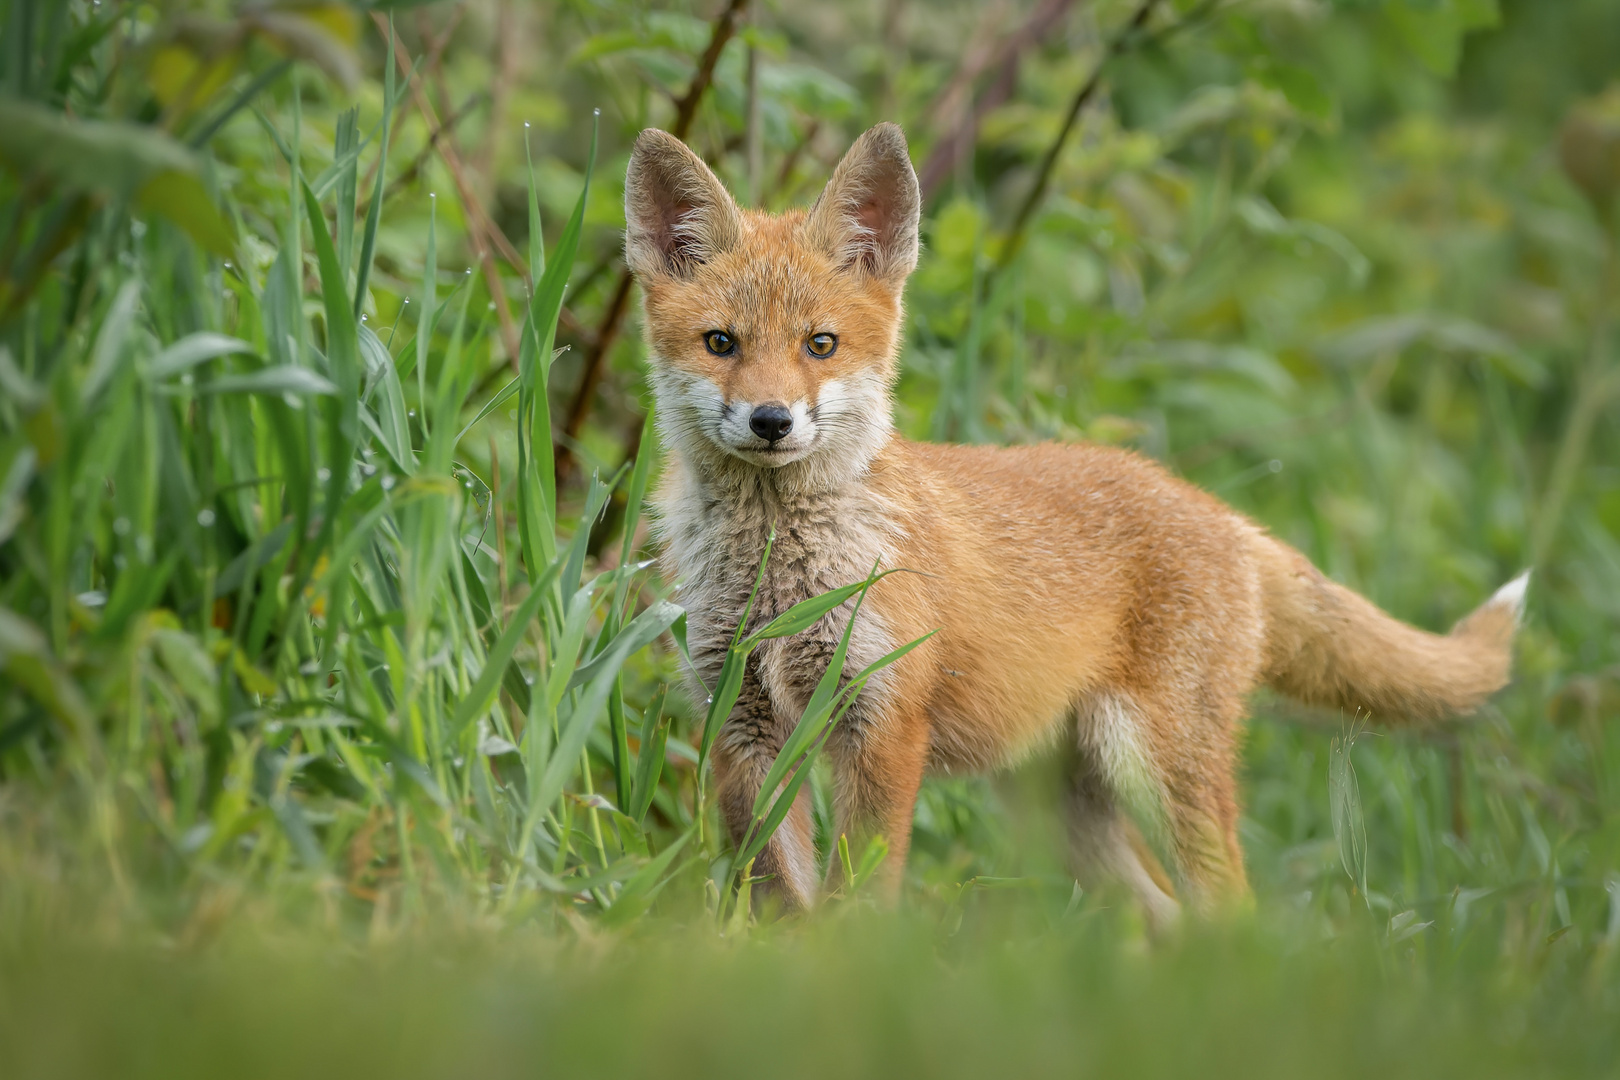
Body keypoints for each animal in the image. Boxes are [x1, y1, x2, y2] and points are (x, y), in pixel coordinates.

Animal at [625, 120, 1522, 932]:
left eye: (820, 344)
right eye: (721, 343)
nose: (772, 420)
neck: (779, 580)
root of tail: (1223, 514)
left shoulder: (882, 722)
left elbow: (861, 895)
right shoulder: (740, 723)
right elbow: (778, 889)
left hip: (1155, 768)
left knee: (1232, 911)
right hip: (1063, 812)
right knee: (1169, 919)